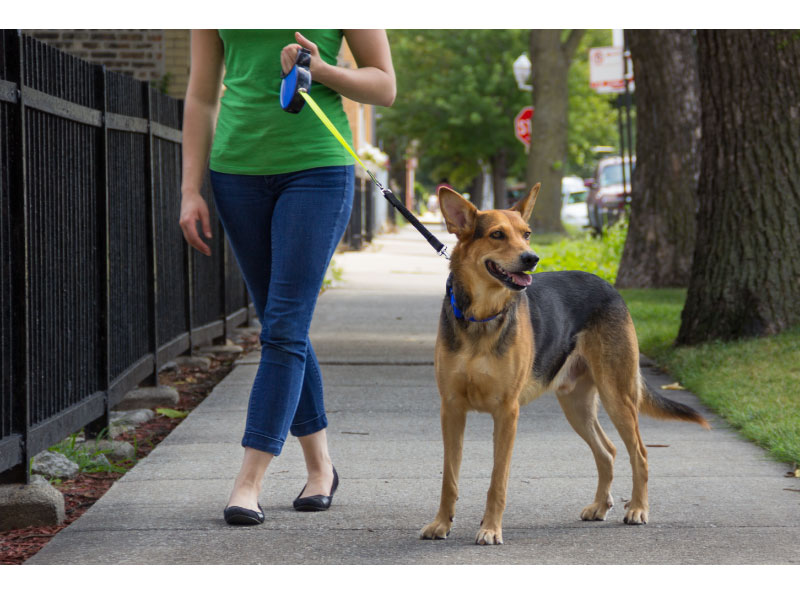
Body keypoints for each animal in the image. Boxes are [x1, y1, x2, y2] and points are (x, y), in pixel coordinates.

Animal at [418, 185, 708, 548]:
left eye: (526, 234)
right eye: (497, 234)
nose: (532, 258)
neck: (482, 316)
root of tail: (608, 284)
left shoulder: (506, 413)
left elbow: (498, 479)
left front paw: (491, 528)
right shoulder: (452, 409)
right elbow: (450, 478)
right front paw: (441, 523)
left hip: (617, 395)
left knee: (638, 453)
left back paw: (638, 509)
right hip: (576, 404)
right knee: (608, 451)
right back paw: (600, 506)